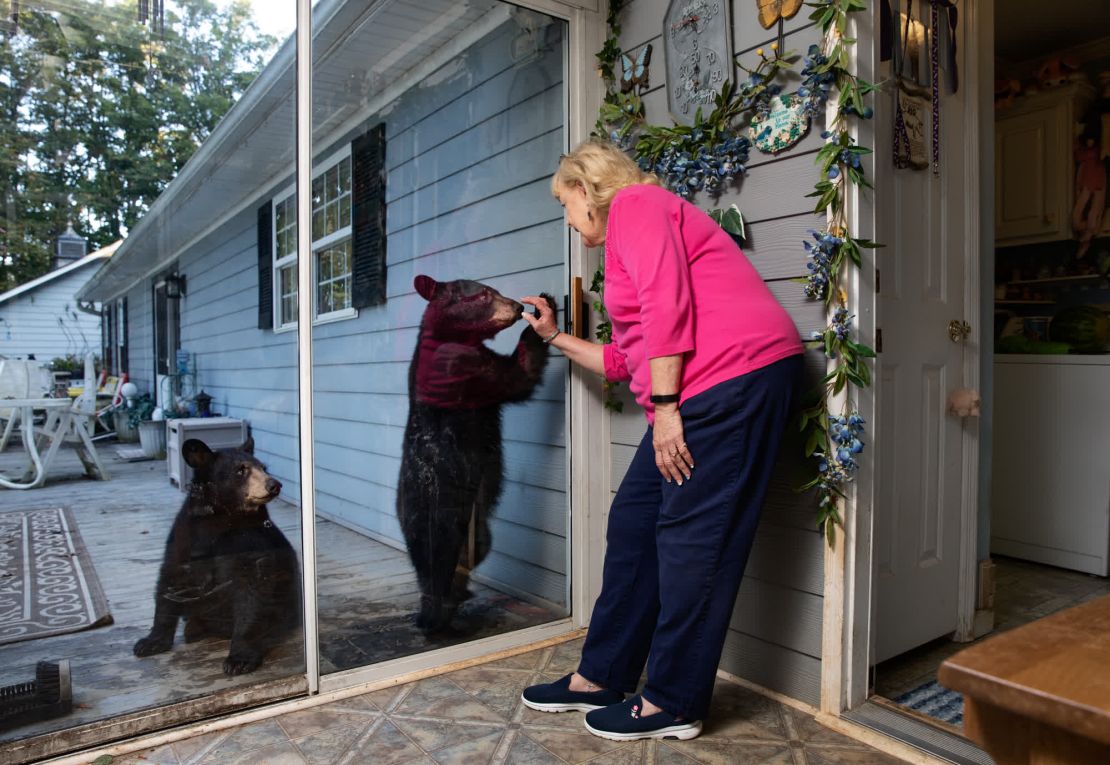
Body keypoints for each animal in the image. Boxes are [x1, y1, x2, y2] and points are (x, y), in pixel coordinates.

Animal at [132, 439, 301, 670]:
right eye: (241, 470)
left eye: (264, 468)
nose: (274, 485)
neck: (222, 520)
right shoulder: (185, 537)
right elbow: (170, 579)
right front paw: (149, 642)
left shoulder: (251, 543)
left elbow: (253, 592)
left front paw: (239, 659)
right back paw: (193, 628)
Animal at [397, 274, 555, 630]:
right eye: (484, 294)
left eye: (494, 289)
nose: (517, 306)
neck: (449, 335)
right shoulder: (463, 366)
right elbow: (514, 378)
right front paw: (543, 310)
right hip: (445, 515)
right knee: (443, 563)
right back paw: (439, 612)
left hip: (469, 524)